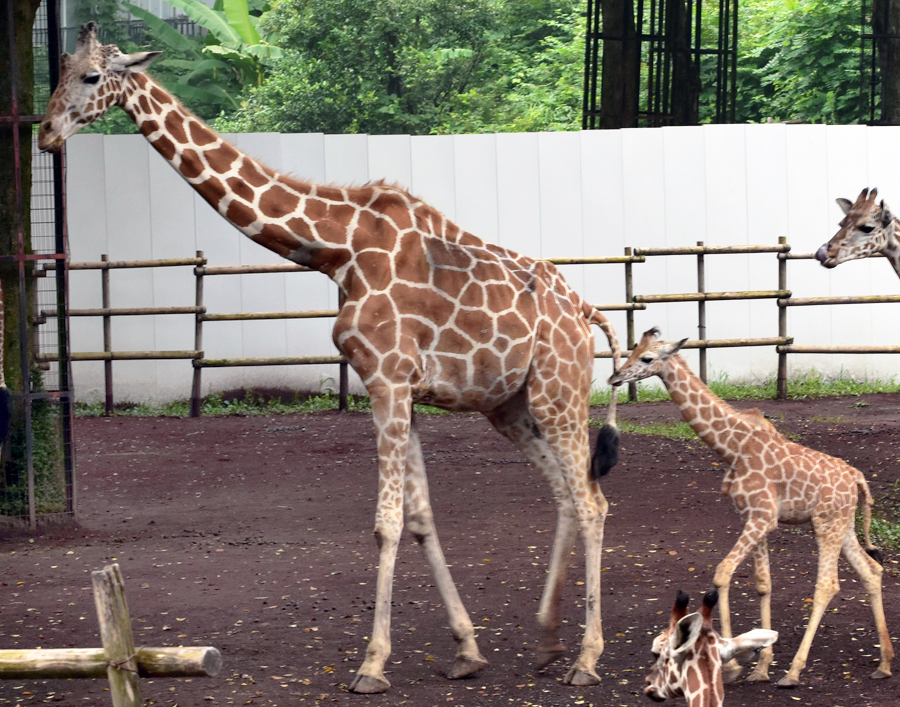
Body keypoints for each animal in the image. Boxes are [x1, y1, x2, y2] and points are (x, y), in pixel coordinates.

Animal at [38, 20, 624, 692]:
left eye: (90, 77)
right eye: (58, 70)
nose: (45, 132)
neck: (336, 249)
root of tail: (586, 313)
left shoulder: (387, 381)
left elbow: (387, 522)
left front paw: (371, 665)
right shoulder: (401, 388)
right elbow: (419, 519)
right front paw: (467, 651)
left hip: (560, 392)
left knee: (592, 501)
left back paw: (586, 658)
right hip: (510, 405)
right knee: (566, 494)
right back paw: (548, 641)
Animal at [608, 332, 896, 692]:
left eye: (647, 359)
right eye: (633, 350)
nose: (614, 378)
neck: (732, 448)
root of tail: (857, 478)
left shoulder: (762, 516)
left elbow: (722, 573)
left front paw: (731, 665)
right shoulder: (754, 517)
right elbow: (763, 584)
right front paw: (761, 665)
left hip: (826, 524)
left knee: (827, 585)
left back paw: (794, 672)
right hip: (842, 525)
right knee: (871, 571)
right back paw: (884, 663)